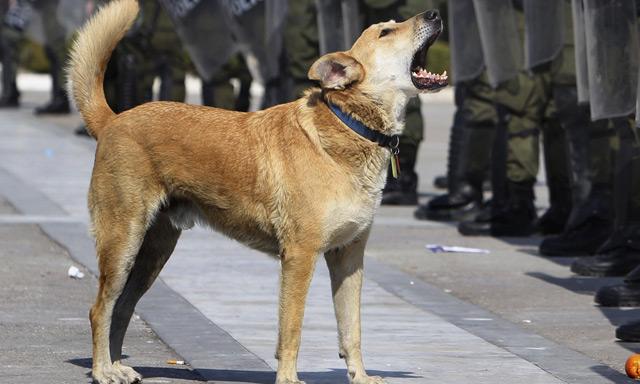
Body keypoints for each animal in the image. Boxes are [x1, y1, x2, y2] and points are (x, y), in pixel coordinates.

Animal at [66, 1, 444, 382]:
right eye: (386, 32)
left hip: (154, 251)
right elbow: (291, 329)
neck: (350, 124)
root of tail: (113, 120)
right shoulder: (299, 256)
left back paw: (115, 366)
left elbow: (351, 329)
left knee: (122, 307)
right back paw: (102, 370)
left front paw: (361, 377)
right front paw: (288, 378)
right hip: (123, 240)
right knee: (100, 309)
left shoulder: (349, 257)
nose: (434, 14)